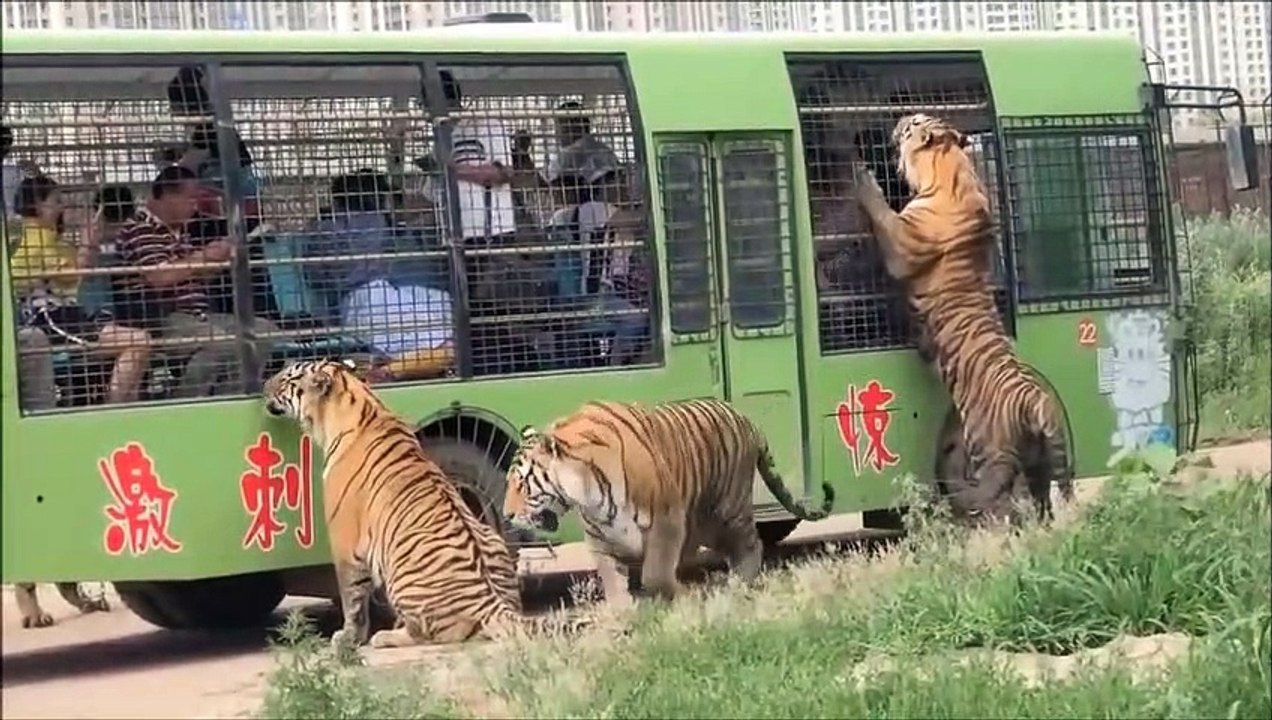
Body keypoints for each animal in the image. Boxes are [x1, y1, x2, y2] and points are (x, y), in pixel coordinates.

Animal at [262, 359, 586, 648]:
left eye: (288, 377)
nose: (264, 384)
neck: (360, 402)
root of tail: (489, 603)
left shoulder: (345, 542)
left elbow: (352, 597)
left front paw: (348, 637)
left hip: (400, 573)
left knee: (431, 633)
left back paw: (387, 635)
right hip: (490, 539)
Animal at [503, 398, 836, 605]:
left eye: (521, 483)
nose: (505, 516)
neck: (585, 491)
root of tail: (747, 420)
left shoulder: (667, 521)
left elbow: (656, 574)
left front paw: (683, 595)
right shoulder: (600, 538)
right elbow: (612, 582)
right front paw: (623, 617)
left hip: (727, 509)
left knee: (752, 544)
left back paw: (737, 584)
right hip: (706, 524)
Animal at [849, 112, 1074, 522]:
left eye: (914, 122)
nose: (900, 118)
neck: (949, 164)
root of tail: (1035, 401)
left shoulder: (902, 242)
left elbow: (882, 212)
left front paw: (863, 177)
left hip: (992, 453)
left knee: (998, 496)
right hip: (1041, 462)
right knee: (1042, 502)